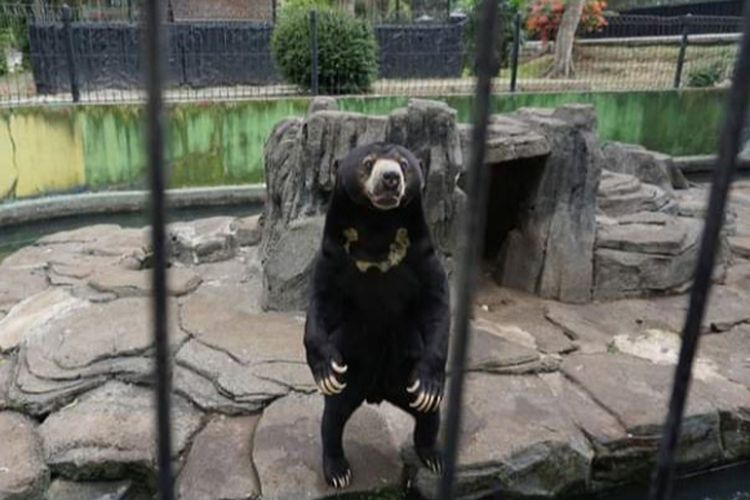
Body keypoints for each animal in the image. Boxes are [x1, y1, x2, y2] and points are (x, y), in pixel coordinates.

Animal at [304, 141, 452, 488]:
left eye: (404, 164)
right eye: (368, 163)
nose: (390, 179)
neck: (377, 225)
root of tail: (378, 391)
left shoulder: (422, 254)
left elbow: (437, 304)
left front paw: (429, 382)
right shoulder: (333, 257)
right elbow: (319, 303)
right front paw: (326, 370)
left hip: (405, 373)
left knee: (429, 413)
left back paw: (434, 456)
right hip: (354, 371)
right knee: (333, 418)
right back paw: (338, 471)